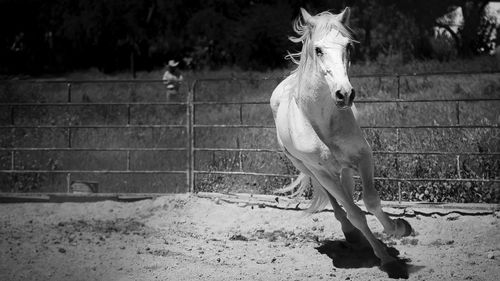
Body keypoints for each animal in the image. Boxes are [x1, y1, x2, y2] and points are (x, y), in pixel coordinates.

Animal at [272, 7, 412, 276]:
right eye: (318, 49)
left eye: (348, 46)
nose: (344, 94)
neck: (322, 121)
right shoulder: (322, 172)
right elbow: (354, 212)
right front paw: (386, 259)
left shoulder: (363, 156)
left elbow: (370, 201)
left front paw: (399, 229)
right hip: (309, 169)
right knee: (338, 203)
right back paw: (351, 233)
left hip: (344, 168)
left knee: (347, 193)